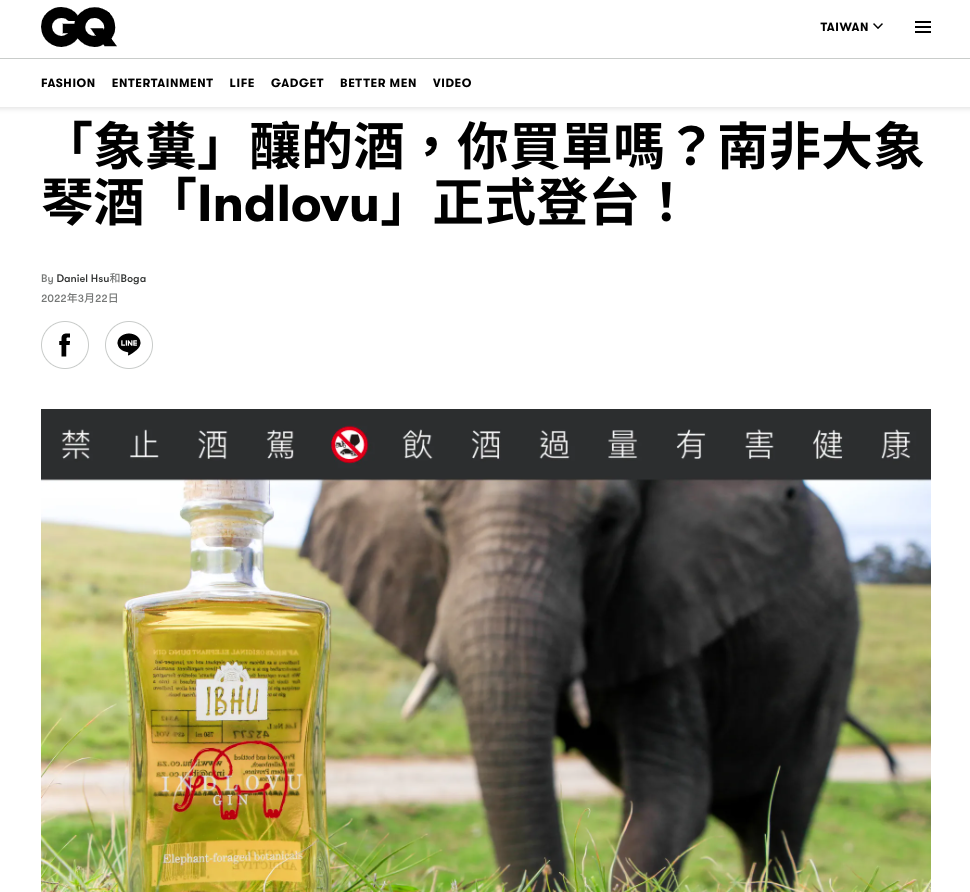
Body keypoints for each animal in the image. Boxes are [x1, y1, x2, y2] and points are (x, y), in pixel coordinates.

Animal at [300, 479, 861, 887]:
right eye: (432, 518)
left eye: (609, 524)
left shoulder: (667, 602)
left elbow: (672, 797)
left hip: (834, 659)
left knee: (779, 824)